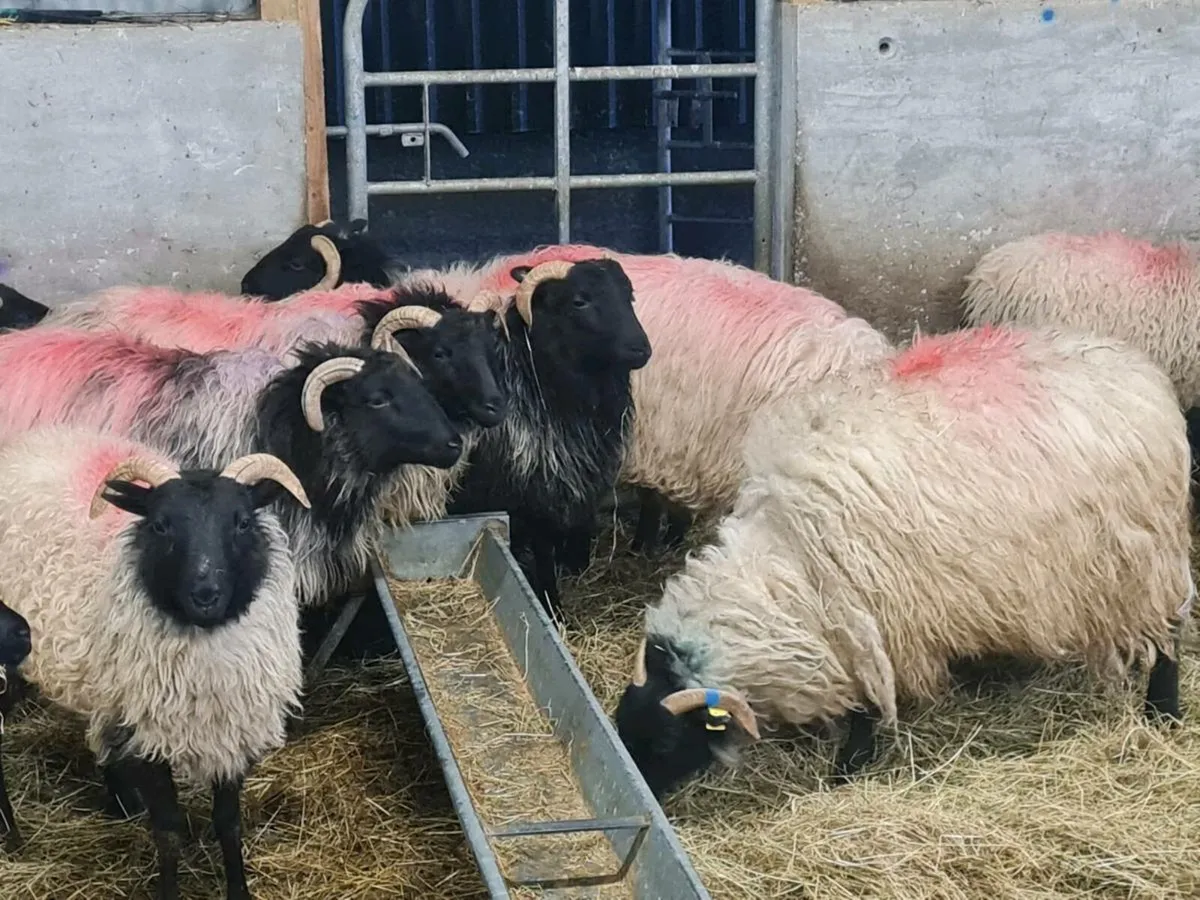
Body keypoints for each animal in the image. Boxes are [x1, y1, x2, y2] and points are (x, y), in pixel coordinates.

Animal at [0, 425, 311, 897]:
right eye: (161, 525)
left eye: (242, 521)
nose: (206, 594)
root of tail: (44, 436)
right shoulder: (146, 734)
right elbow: (168, 832)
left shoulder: (231, 730)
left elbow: (229, 825)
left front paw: (238, 889)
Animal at [446, 258, 652, 616]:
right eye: (579, 301)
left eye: (629, 295)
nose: (642, 348)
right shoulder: (530, 493)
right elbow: (538, 552)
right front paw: (549, 603)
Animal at [614, 324, 1194, 799]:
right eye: (622, 719)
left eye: (665, 744)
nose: (640, 791)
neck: (786, 567)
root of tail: (1137, 367)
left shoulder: (876, 619)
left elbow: (868, 705)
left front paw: (848, 769)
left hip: (1146, 553)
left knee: (1169, 631)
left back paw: (1163, 712)